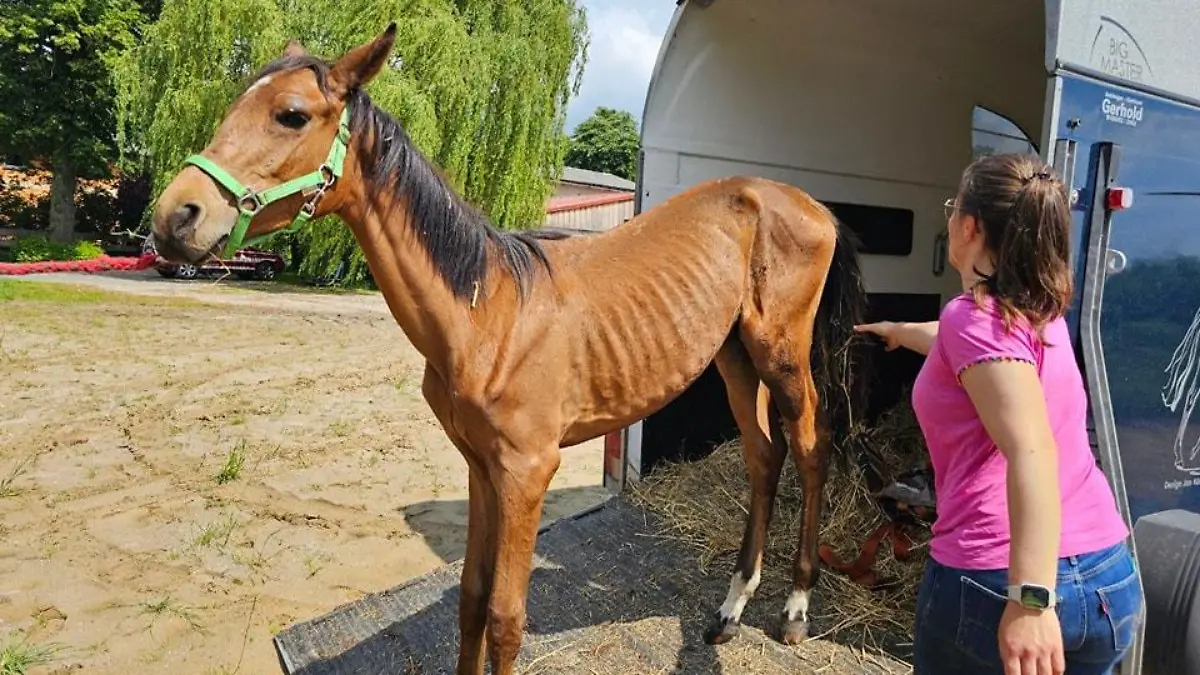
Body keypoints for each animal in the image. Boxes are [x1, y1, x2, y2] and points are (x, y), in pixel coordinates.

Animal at [148, 24, 870, 675]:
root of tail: (809, 203)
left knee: (810, 448)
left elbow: (504, 616)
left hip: (780, 353)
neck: (485, 314)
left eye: (292, 114)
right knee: (763, 456)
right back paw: (729, 610)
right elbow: (470, 601)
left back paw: (795, 610)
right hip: (734, 355)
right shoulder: (480, 466)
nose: (175, 216)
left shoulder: (527, 473)